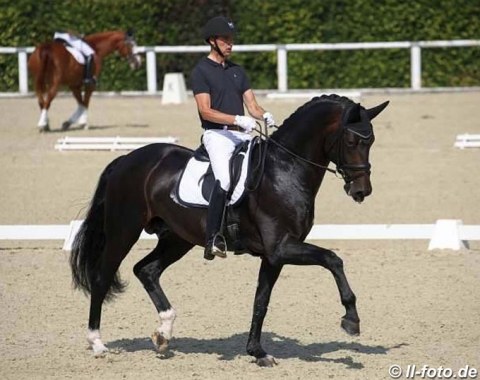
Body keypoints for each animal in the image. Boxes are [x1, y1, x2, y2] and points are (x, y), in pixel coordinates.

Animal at [69, 94, 388, 366]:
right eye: (351, 140)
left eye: (371, 140)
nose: (361, 190)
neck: (285, 169)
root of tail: (126, 159)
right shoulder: (281, 247)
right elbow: (333, 259)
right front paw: (351, 319)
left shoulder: (274, 256)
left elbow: (261, 301)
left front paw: (258, 352)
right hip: (124, 231)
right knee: (102, 278)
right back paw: (97, 343)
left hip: (177, 239)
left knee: (146, 270)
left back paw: (163, 334)